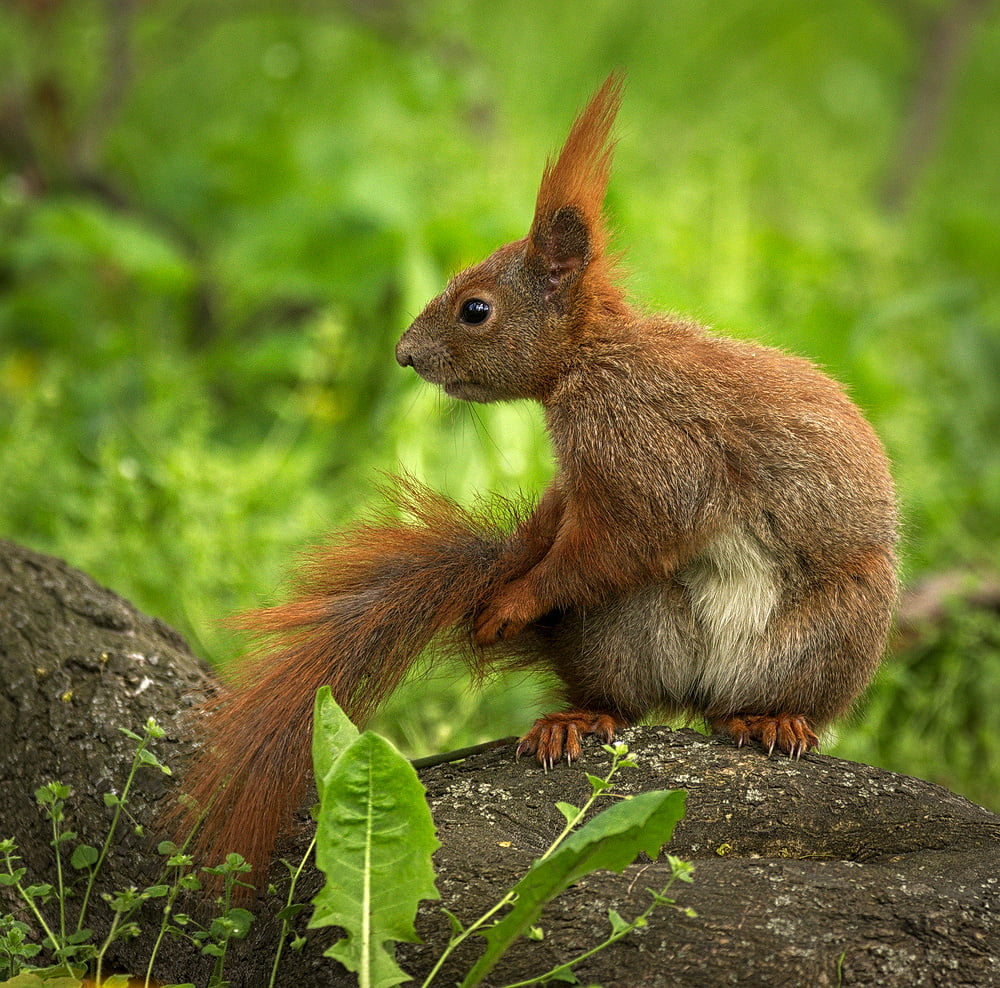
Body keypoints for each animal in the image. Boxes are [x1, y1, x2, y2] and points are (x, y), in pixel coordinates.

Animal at [179, 74, 898, 885]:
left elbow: (623, 540)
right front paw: (505, 572)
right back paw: (577, 719)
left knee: (771, 700)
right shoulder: (584, 481)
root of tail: (704, 694)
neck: (596, 361)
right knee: (623, 703)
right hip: (625, 630)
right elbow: (557, 525)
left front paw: (511, 600)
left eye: (475, 309)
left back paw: (774, 718)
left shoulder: (653, 456)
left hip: (837, 630)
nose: (403, 355)